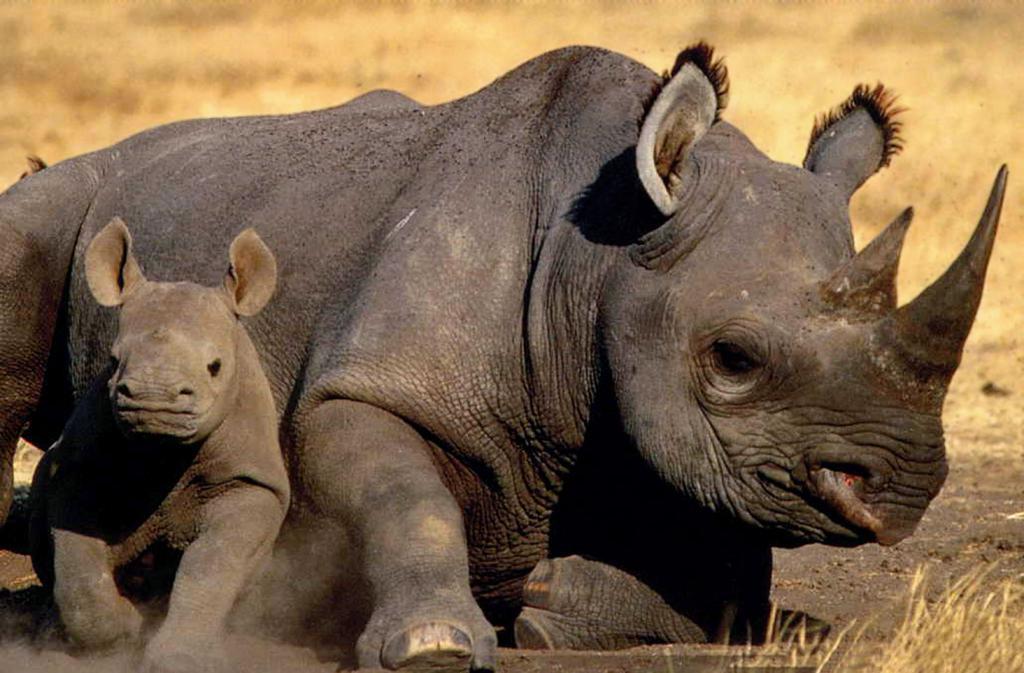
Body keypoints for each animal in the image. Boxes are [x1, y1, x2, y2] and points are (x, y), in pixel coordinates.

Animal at [29, 219, 287, 673]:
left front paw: (179, 658)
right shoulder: (77, 470)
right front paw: (121, 630)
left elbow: (212, 563)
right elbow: (78, 563)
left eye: (215, 367)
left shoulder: (250, 483)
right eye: (113, 361)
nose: (153, 400)